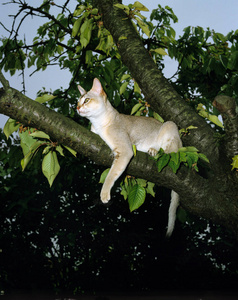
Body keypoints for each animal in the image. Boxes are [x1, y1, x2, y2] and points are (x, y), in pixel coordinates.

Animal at [77, 78, 181, 237]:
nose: (77, 108)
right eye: (78, 101)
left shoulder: (125, 150)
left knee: (171, 152)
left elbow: (111, 175)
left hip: (170, 127)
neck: (98, 124)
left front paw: (104, 193)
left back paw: (155, 150)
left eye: (86, 100)